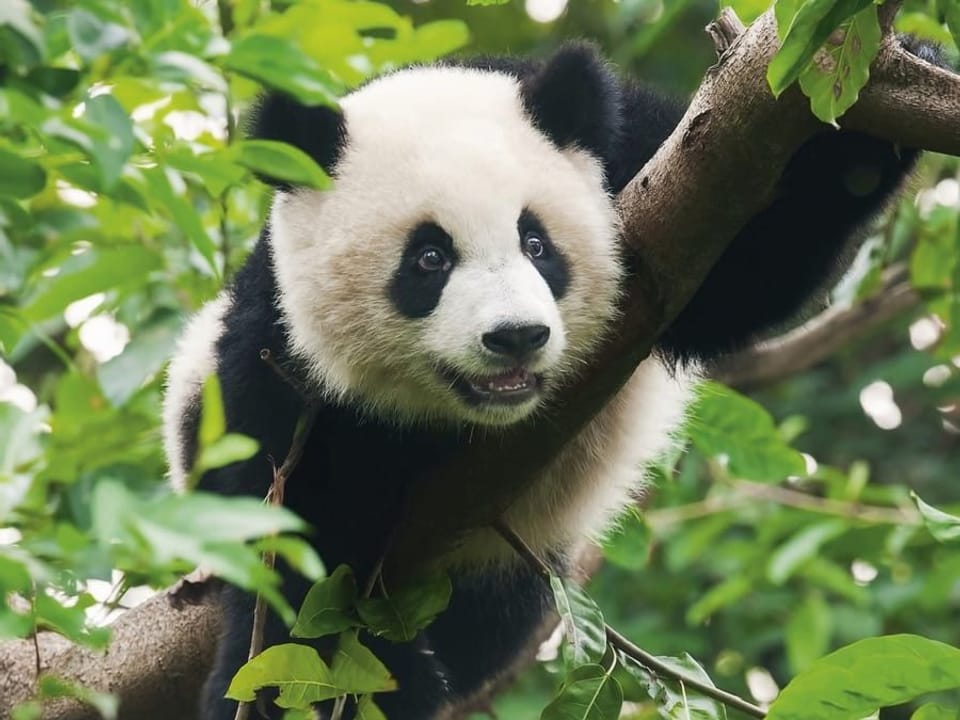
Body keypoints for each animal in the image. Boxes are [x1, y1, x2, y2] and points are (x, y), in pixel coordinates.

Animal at [163, 42, 934, 720]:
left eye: (537, 244)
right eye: (429, 258)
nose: (515, 337)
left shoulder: (646, 164)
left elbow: (747, 266)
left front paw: (880, 100)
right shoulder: (277, 357)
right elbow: (295, 541)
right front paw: (336, 678)